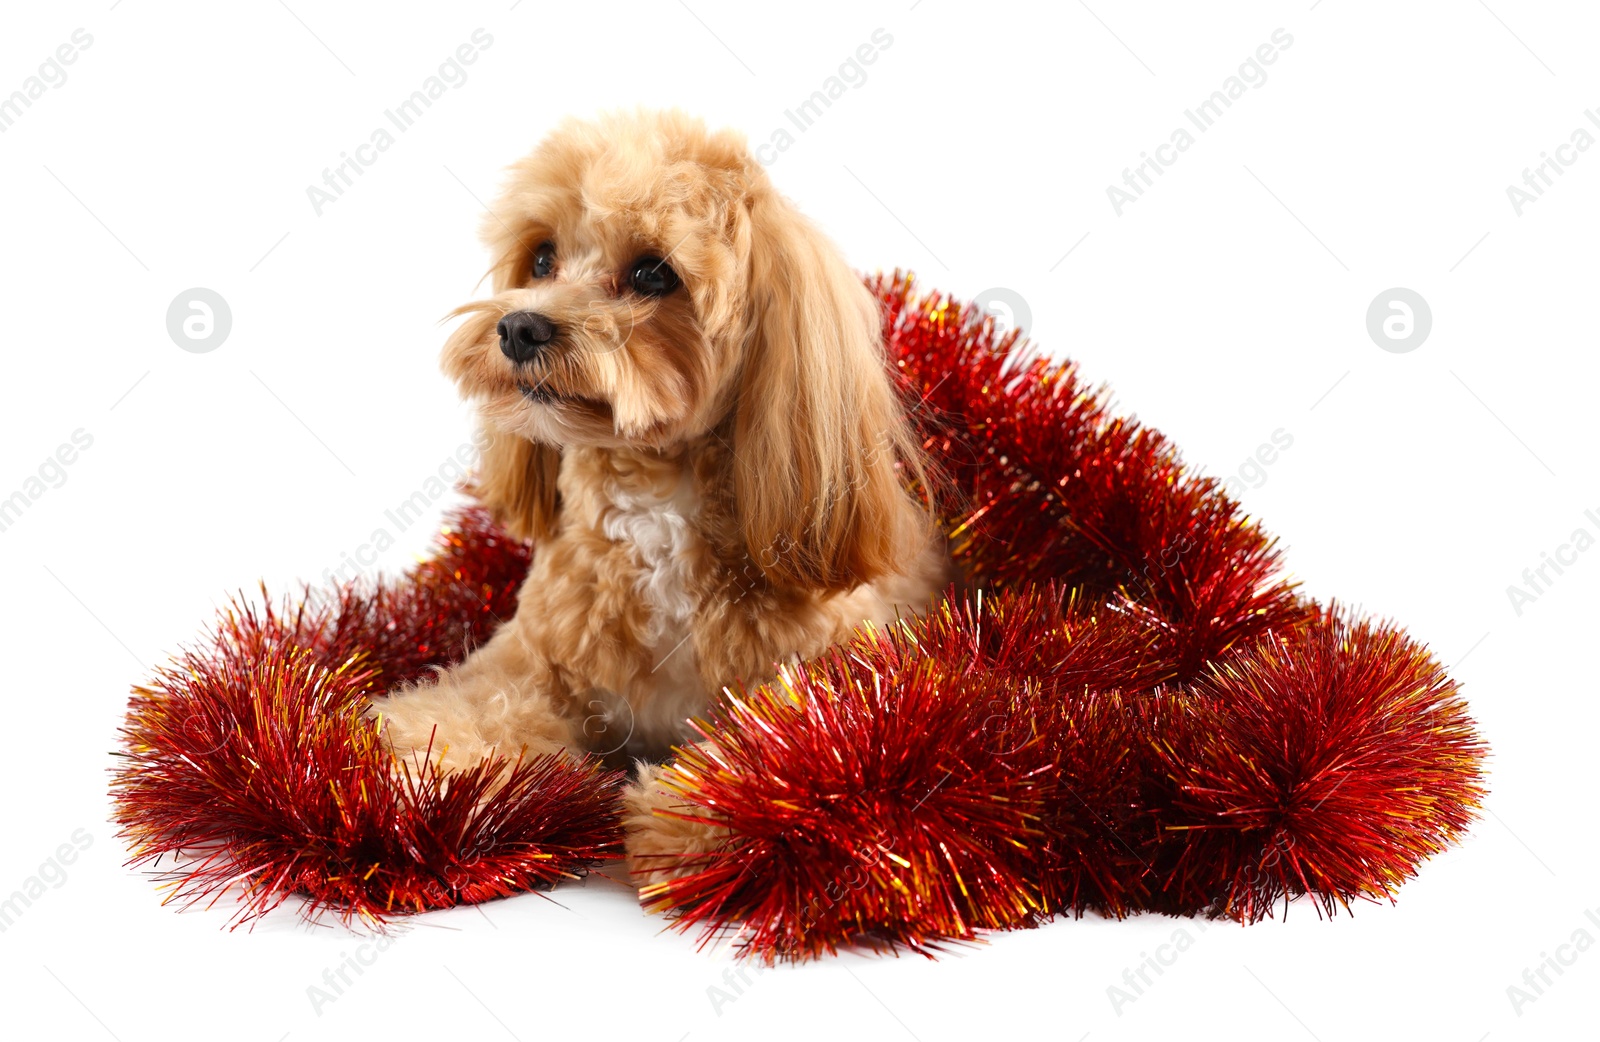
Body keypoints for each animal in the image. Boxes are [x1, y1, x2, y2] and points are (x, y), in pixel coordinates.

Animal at [366, 112, 947, 883]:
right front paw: (436, 765)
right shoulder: (531, 654)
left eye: (652, 273)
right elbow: (475, 702)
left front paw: (698, 807)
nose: (519, 327)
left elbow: (791, 735)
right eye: (542, 258)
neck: (654, 513)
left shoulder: (834, 667)